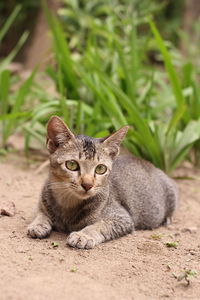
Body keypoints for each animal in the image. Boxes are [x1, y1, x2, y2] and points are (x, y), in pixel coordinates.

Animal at [27, 116, 178, 250]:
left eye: (100, 169)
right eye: (71, 165)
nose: (87, 185)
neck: (68, 202)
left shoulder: (122, 218)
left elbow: (100, 225)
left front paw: (83, 235)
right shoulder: (42, 200)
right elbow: (41, 212)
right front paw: (38, 224)